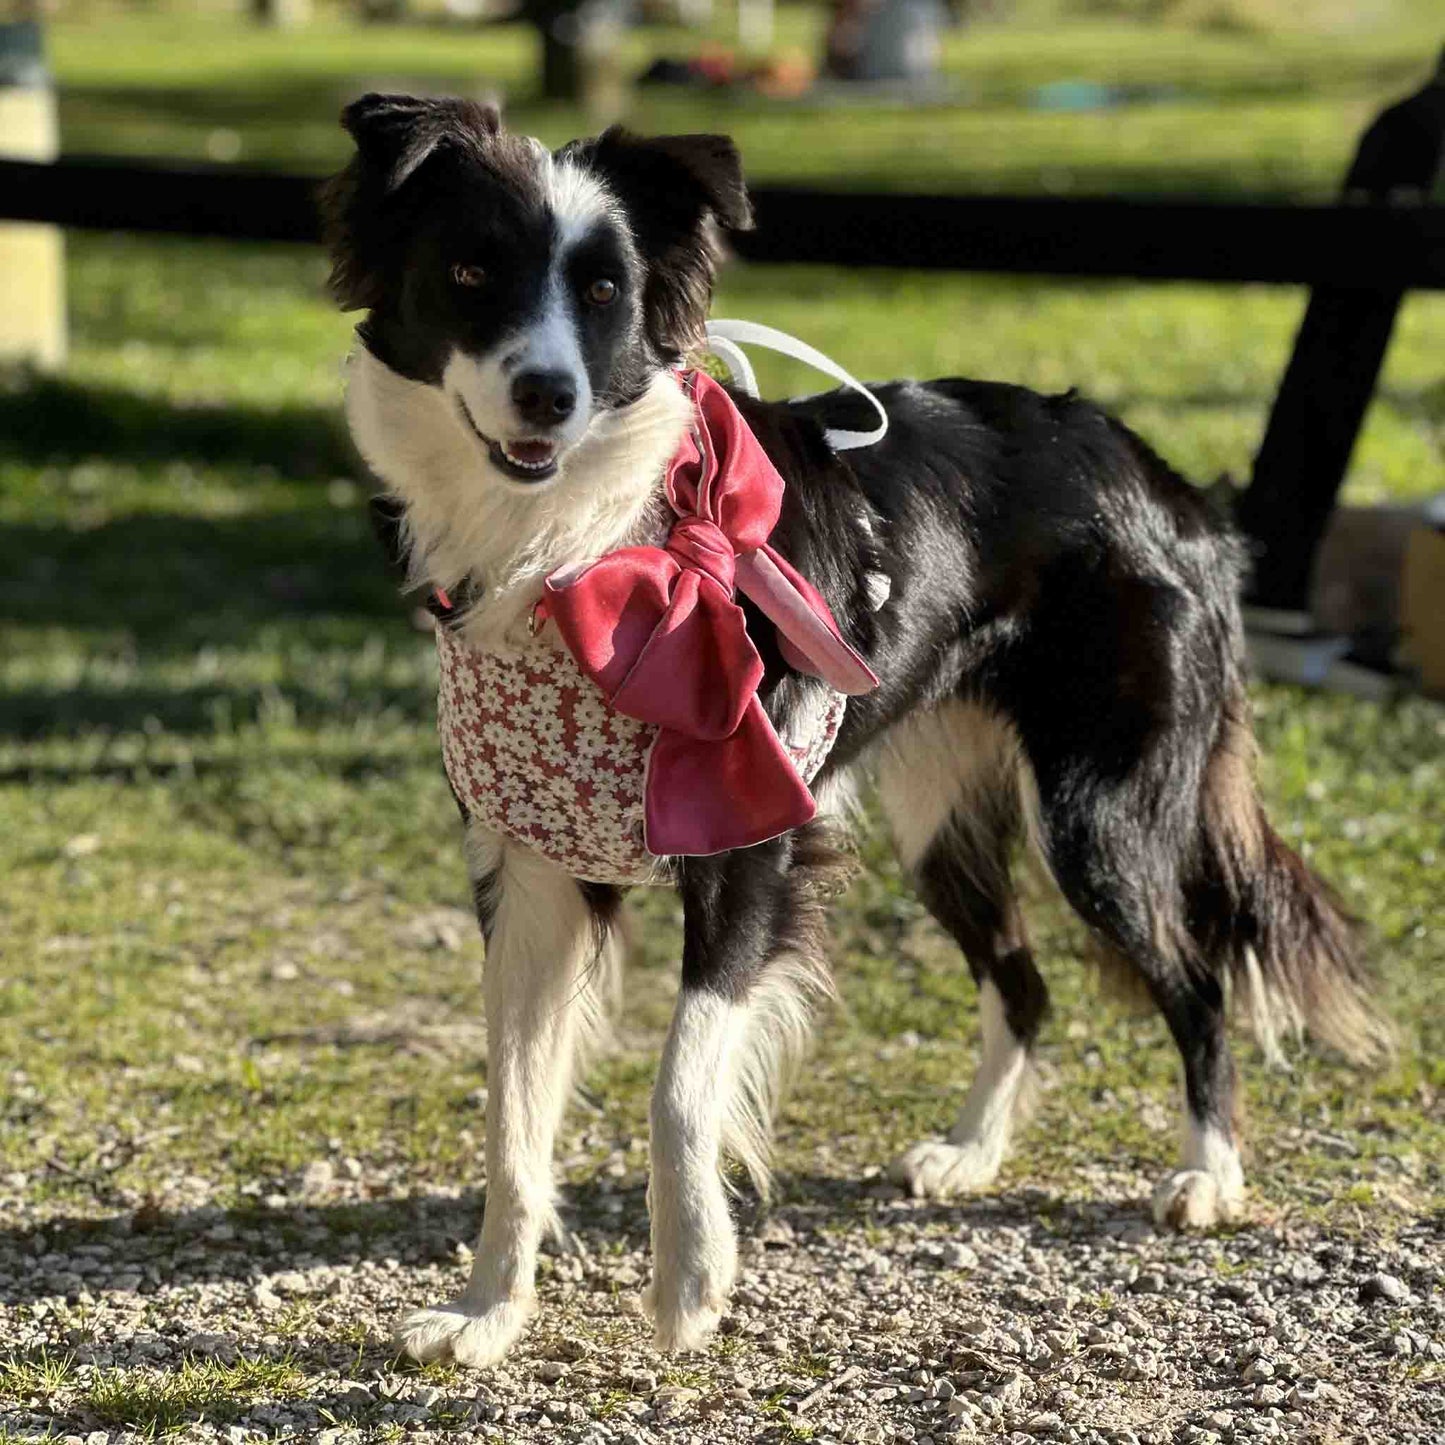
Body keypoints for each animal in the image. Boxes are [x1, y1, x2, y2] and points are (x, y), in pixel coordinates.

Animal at [325, 98, 1387, 1364]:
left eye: (603, 292)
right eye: (471, 270)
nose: (547, 395)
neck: (586, 547)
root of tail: (1163, 479)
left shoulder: (747, 848)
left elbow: (677, 1083)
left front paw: (689, 1281)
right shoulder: (528, 875)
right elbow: (512, 1113)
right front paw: (490, 1310)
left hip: (1099, 819)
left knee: (1196, 976)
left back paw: (1205, 1174)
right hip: (937, 820)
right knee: (1023, 983)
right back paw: (971, 1152)